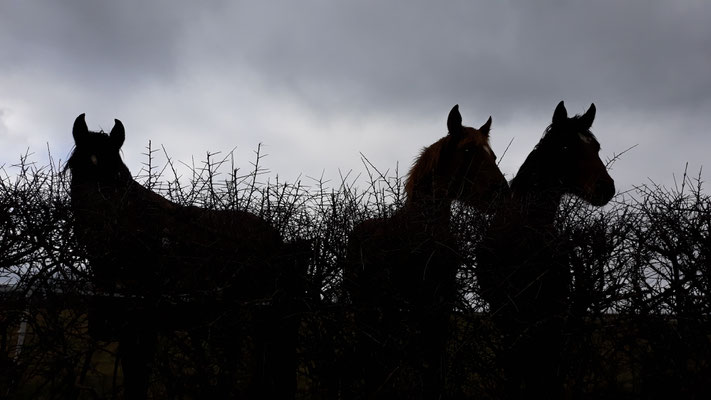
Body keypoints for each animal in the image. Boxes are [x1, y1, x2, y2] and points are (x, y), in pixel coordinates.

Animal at [68, 114, 308, 398]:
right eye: (74, 168)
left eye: (117, 175)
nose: (100, 228)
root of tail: (276, 239)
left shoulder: (145, 322)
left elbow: (139, 376)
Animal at [344, 104, 512, 398]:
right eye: (467, 150)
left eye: (491, 154)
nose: (501, 193)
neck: (425, 231)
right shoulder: (418, 302)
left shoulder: (441, 303)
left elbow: (435, 362)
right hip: (368, 305)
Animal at [478, 101, 616, 398]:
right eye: (564, 147)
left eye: (597, 147)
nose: (605, 188)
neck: (523, 233)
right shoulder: (506, 315)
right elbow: (516, 369)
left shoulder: (550, 313)